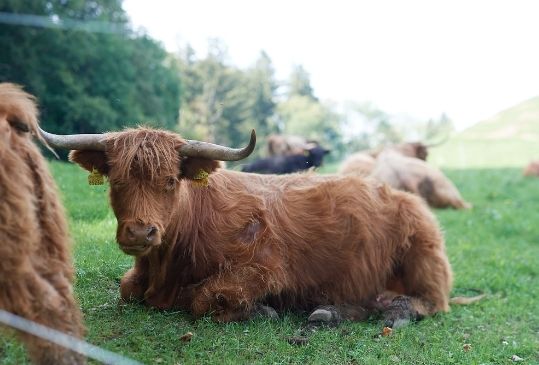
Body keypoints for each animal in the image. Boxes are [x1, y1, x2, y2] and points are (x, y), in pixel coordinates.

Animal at [42, 126, 454, 328]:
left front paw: (262, 311)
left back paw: (396, 312)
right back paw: (330, 312)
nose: (140, 233)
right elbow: (127, 289)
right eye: (116, 181)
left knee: (431, 301)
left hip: (424, 256)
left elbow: (205, 297)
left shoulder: (265, 268)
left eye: (171, 181)